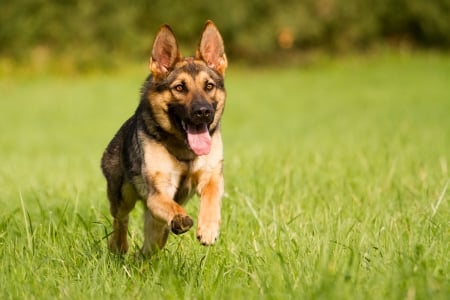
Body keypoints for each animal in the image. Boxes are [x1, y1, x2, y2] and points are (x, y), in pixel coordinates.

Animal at [100, 21, 227, 255]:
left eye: (209, 86)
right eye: (179, 87)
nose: (203, 112)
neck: (185, 150)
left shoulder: (212, 176)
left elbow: (212, 198)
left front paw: (208, 229)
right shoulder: (158, 193)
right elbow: (170, 205)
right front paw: (180, 218)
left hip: (154, 228)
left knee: (150, 245)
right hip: (122, 197)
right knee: (120, 220)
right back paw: (119, 247)